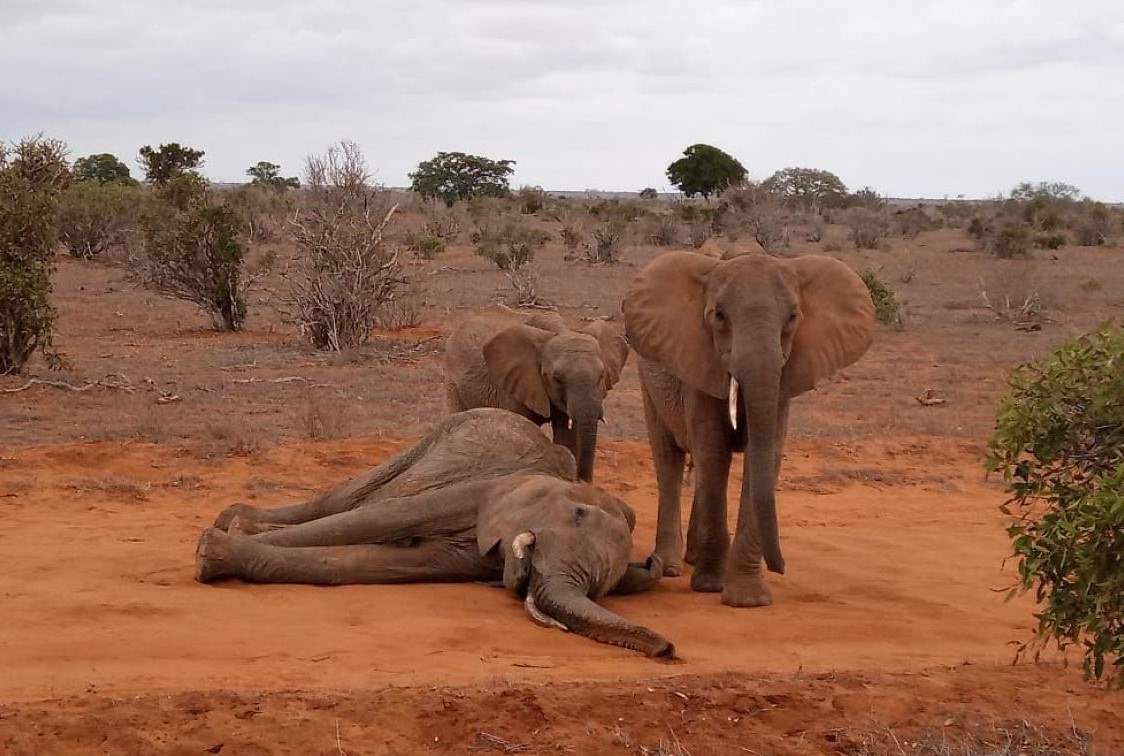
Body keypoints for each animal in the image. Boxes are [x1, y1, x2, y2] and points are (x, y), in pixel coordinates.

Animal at [194, 404, 669, 656]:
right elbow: (381, 518)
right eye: (578, 515)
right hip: (434, 437)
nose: (667, 651)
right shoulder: (483, 490)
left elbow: (372, 563)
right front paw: (209, 551)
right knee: (345, 499)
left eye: (602, 589)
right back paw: (236, 519)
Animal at [442, 310, 629, 480]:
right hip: (452, 380)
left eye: (601, 375)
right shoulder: (513, 386)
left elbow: (567, 436)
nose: (582, 481)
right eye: (557, 378)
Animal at [620, 250, 872, 606]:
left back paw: (693, 558)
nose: (781, 567)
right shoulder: (699, 362)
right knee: (668, 459)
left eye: (793, 317)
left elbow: (762, 454)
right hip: (648, 377)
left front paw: (748, 600)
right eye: (719, 316)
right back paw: (670, 567)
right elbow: (713, 450)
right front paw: (711, 586)